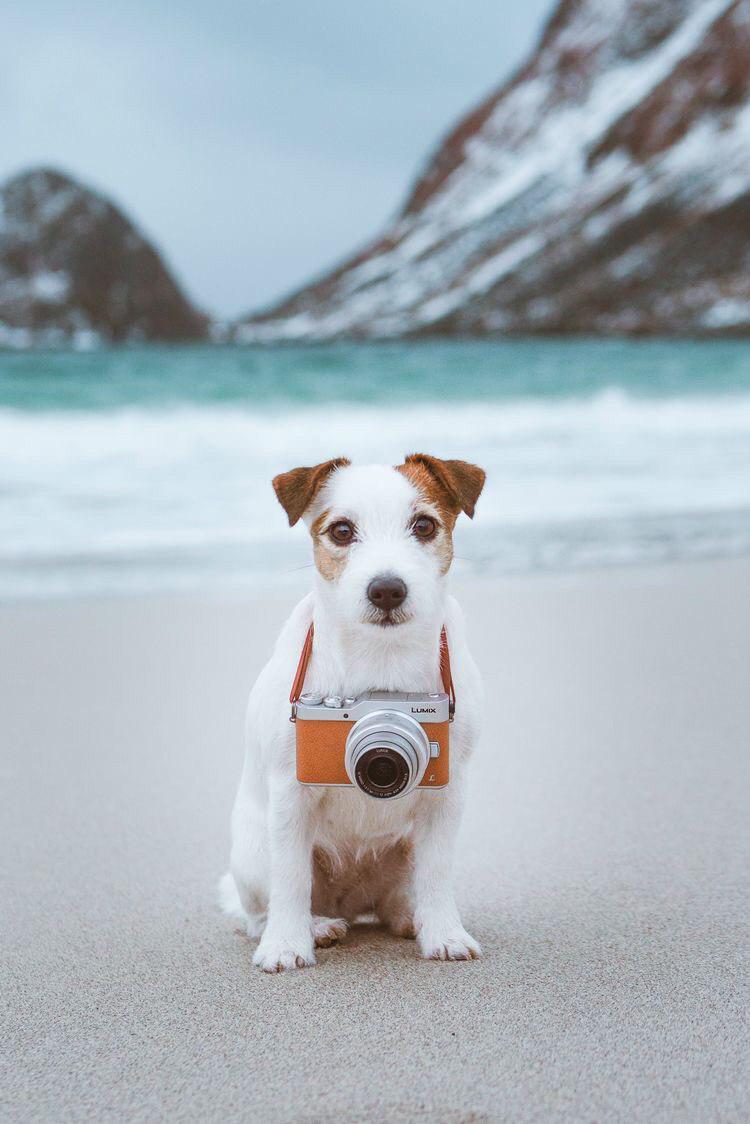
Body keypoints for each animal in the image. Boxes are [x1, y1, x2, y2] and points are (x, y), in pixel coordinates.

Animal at [217, 451, 488, 971]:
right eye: (342, 531)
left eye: (424, 525)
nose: (387, 589)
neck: (383, 669)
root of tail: (351, 901)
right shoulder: (291, 793)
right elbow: (290, 880)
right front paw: (286, 945)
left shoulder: (450, 791)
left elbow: (437, 872)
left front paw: (443, 933)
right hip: (255, 851)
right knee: (260, 911)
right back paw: (315, 926)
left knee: (398, 897)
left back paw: (408, 917)